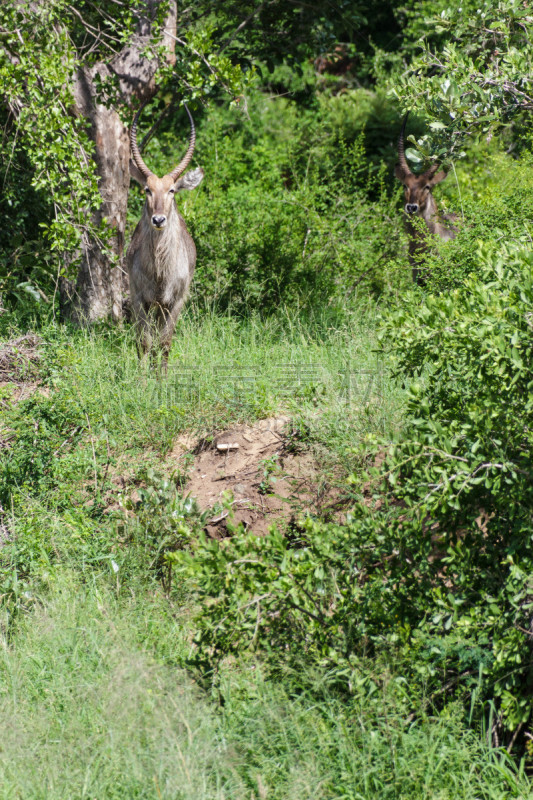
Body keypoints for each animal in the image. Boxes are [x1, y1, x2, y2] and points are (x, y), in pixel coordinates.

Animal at [125, 99, 205, 368]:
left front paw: (161, 378)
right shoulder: (139, 298)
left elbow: (165, 344)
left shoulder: (176, 302)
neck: (160, 270)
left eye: (172, 190)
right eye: (147, 189)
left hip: (163, 307)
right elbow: (144, 343)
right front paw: (141, 378)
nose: (158, 219)